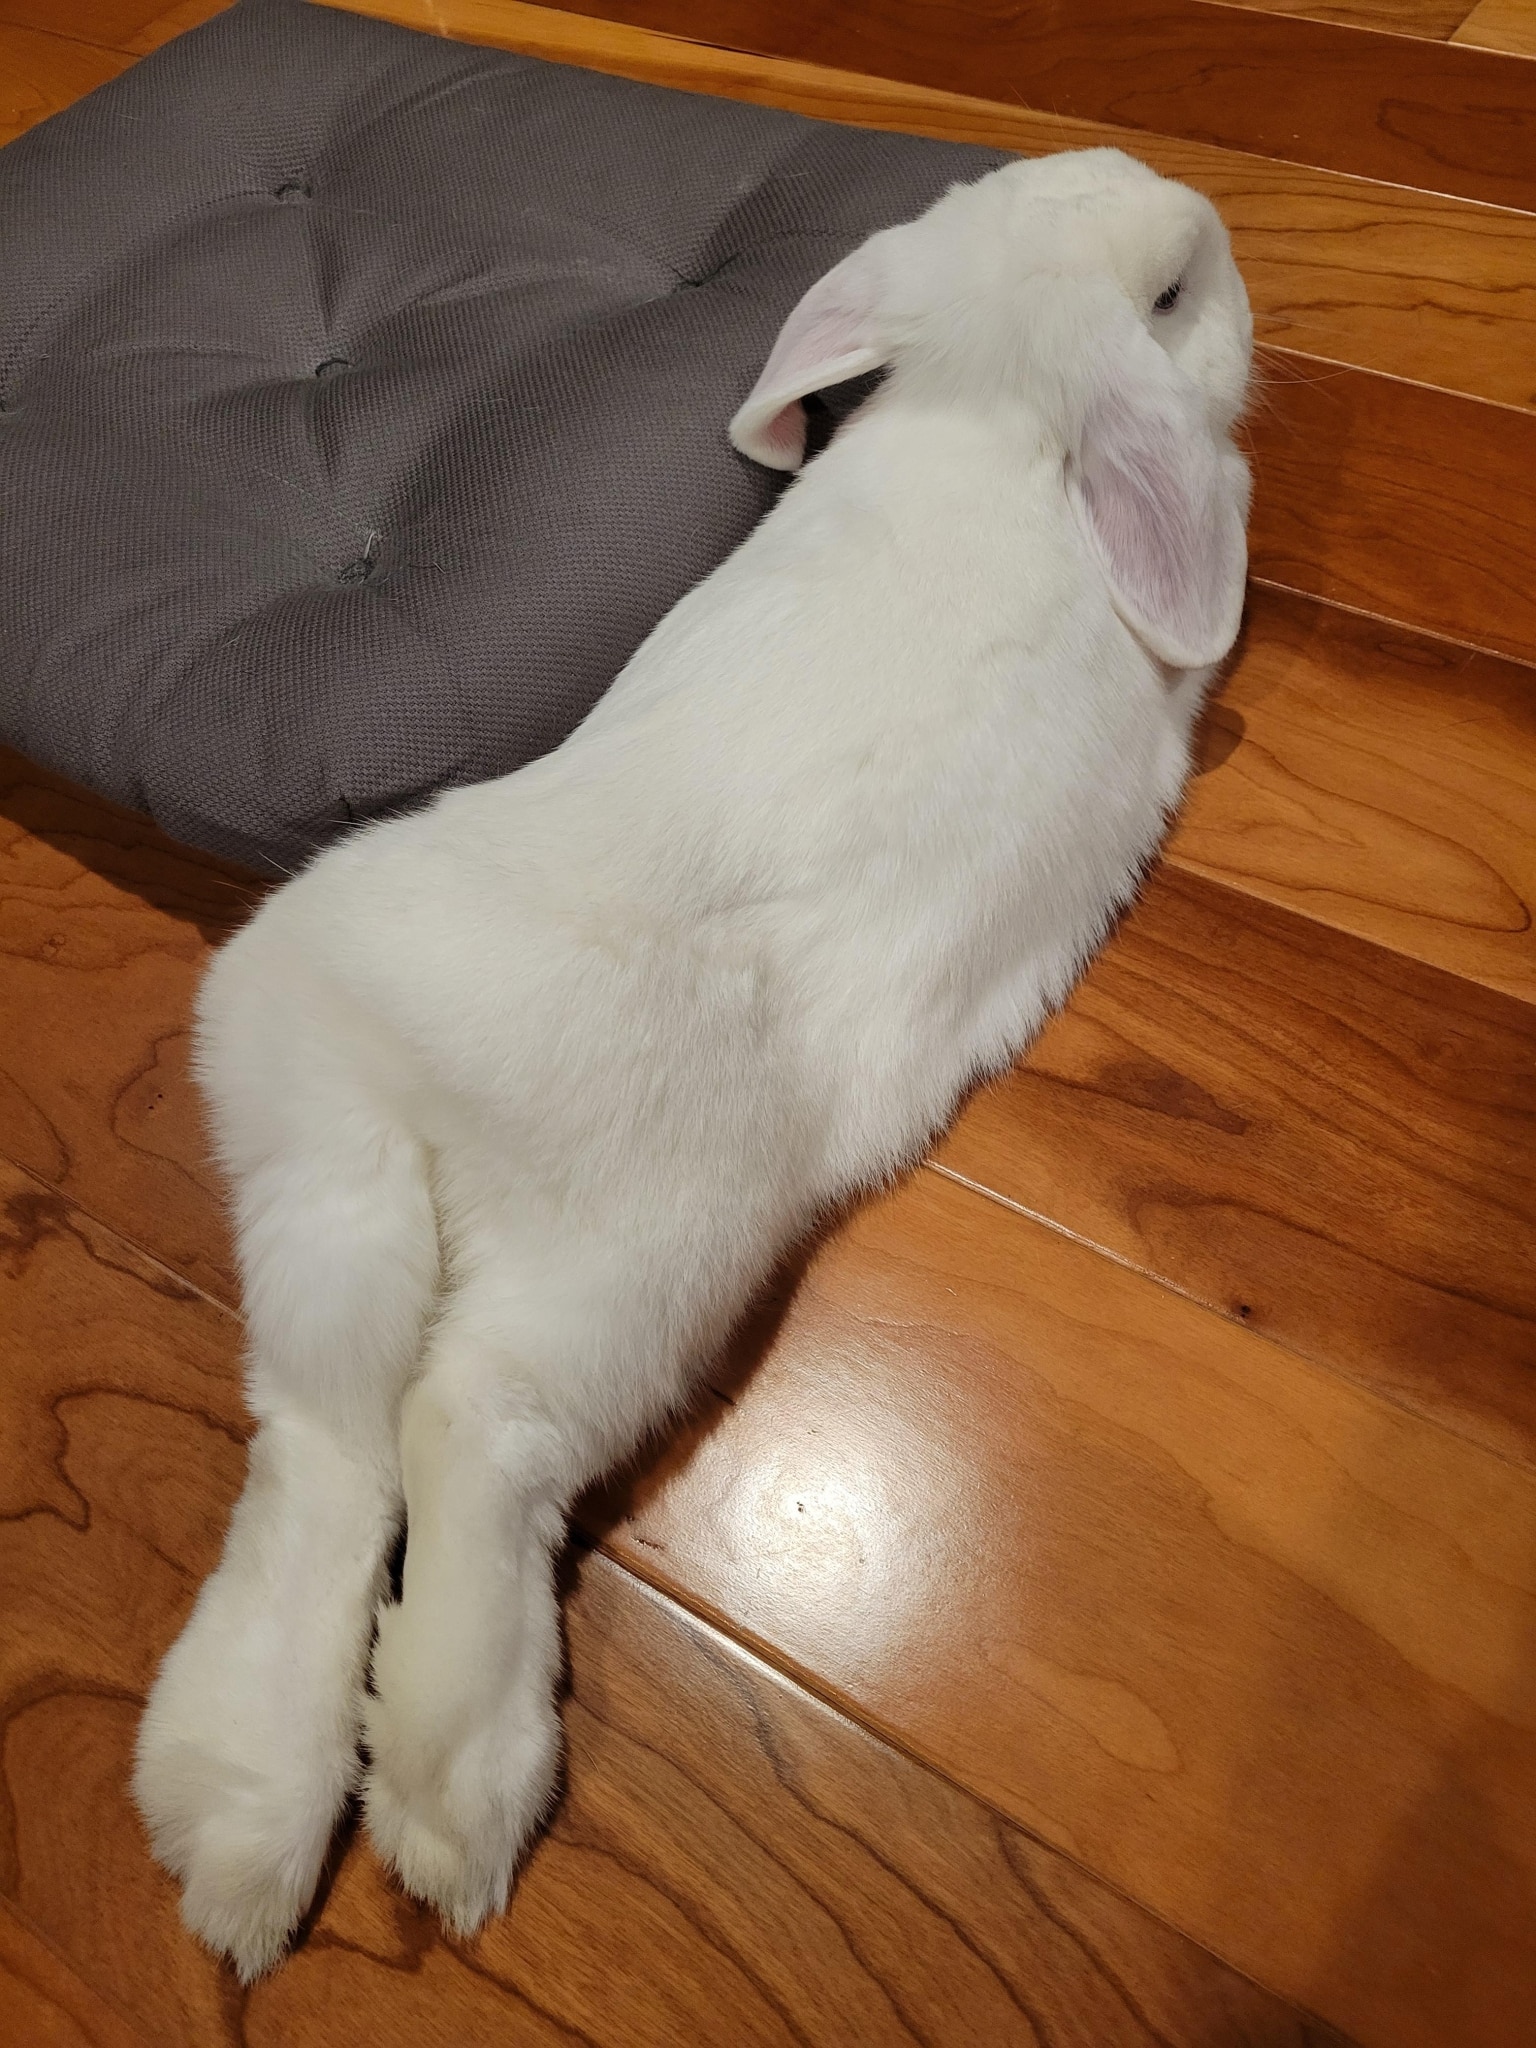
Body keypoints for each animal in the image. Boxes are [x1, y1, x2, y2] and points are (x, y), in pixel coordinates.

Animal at [132, 145, 1252, 1979]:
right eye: (1169, 298)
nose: (1202, 217)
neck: (989, 412)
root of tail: (414, 1074)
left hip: (314, 1162)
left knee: (322, 1438)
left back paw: (234, 1824)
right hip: (643, 1254)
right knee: (464, 1427)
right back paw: (452, 1797)